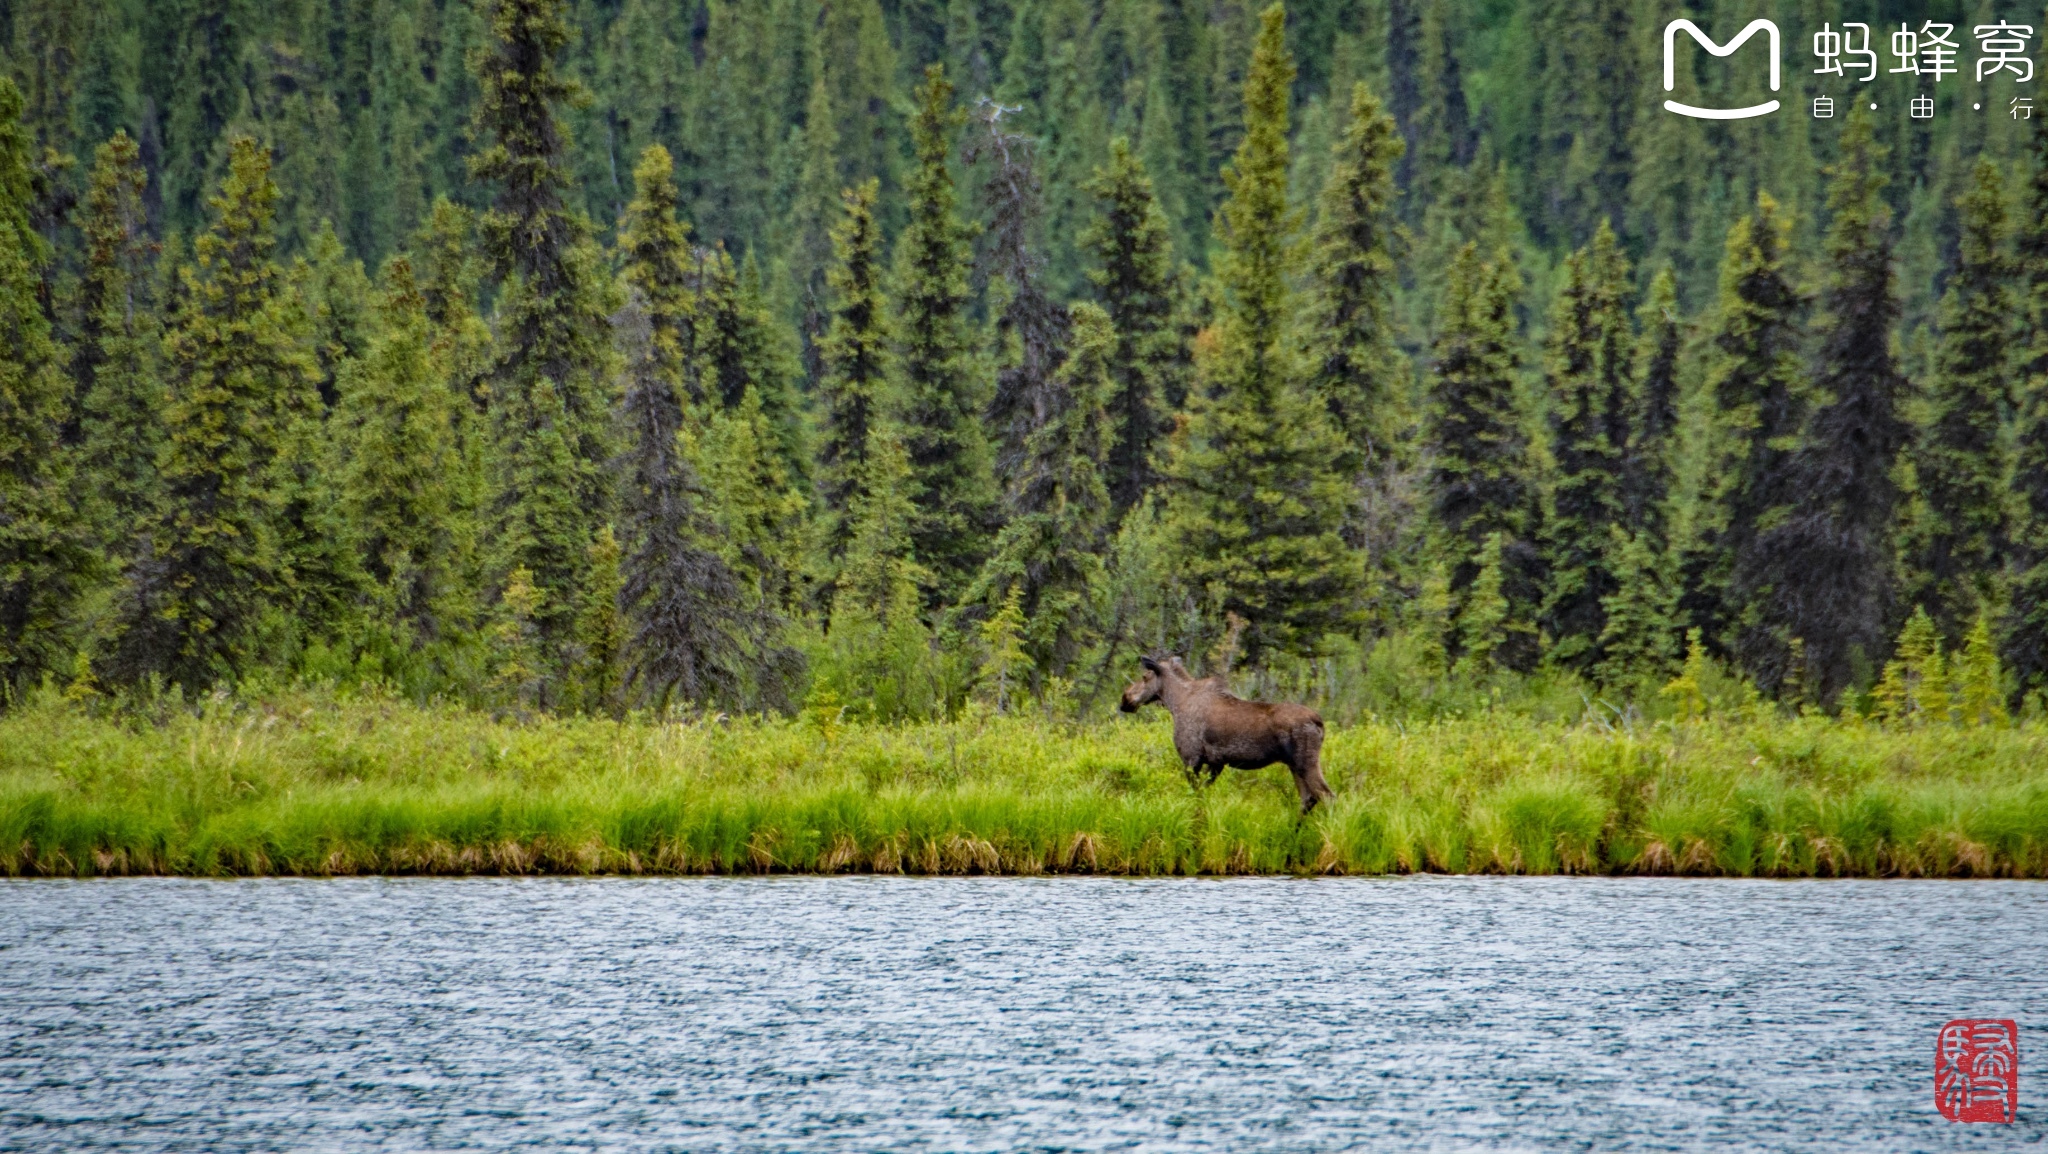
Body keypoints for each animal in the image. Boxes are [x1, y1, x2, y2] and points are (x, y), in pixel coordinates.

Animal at [1114, 655, 1335, 815]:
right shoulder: (1216, 762)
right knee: (1308, 799)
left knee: (1327, 796)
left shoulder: (1191, 758)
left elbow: (1195, 796)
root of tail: (1319, 722)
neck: (1175, 703)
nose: (1125, 699)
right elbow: (1203, 795)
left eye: (1145, 677)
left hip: (1305, 762)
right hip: (1294, 765)